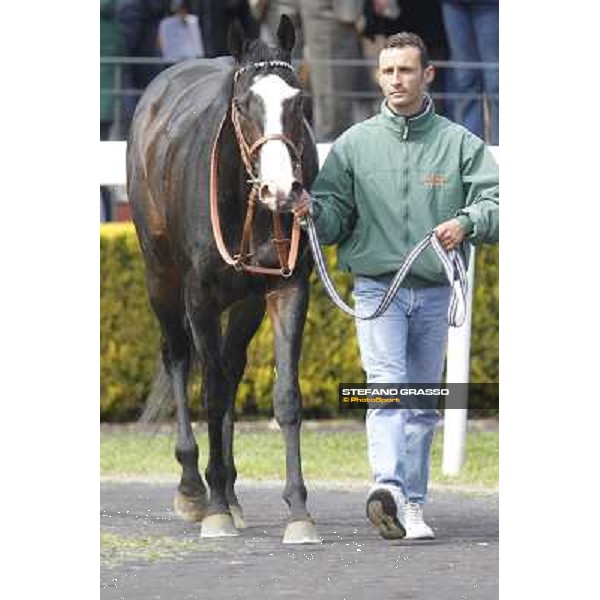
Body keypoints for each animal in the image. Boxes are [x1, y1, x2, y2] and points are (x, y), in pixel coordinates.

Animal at [126, 16, 322, 544]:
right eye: (244, 104)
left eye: (298, 101)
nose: (281, 189)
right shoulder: (200, 296)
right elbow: (209, 393)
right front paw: (212, 509)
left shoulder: (286, 288)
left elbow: (285, 395)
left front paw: (298, 512)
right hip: (159, 275)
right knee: (178, 356)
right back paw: (197, 487)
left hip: (246, 301)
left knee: (231, 367)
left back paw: (229, 490)